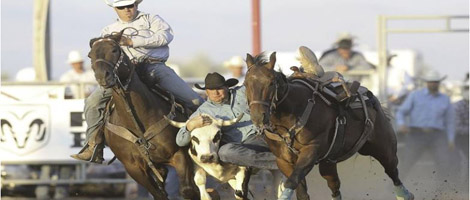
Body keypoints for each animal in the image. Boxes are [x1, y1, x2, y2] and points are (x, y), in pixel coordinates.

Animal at [87, 33, 197, 200]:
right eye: (90, 55)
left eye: (114, 50)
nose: (102, 76)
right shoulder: (134, 168)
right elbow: (159, 194)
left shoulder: (180, 154)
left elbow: (188, 190)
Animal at [244, 52, 414, 199]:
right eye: (246, 84)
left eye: (271, 82)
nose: (258, 116)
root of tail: (372, 98)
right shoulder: (283, 160)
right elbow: (300, 191)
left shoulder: (311, 150)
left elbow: (292, 181)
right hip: (328, 161)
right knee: (334, 185)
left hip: (383, 148)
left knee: (393, 171)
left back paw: (405, 195)